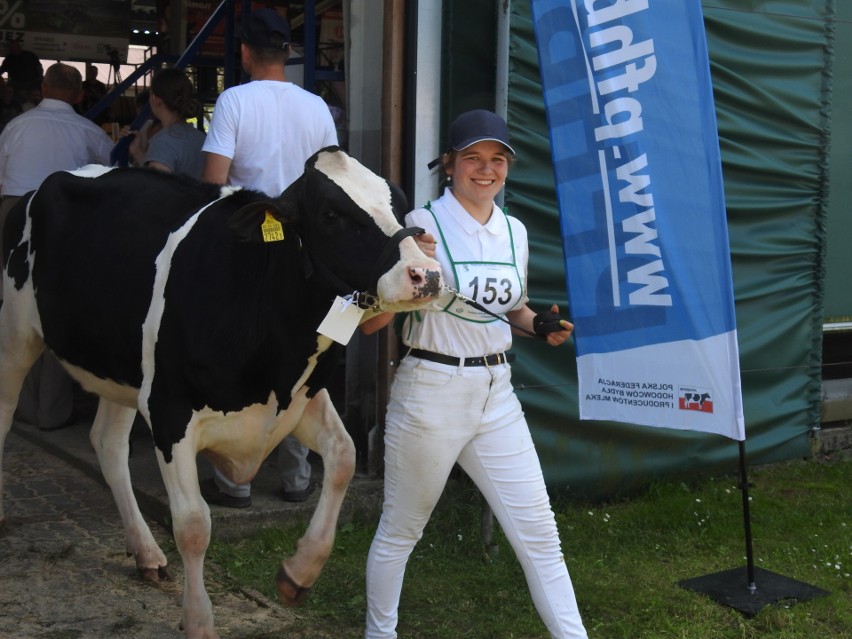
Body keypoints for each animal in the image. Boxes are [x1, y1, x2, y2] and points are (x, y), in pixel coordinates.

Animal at [0, 148, 440, 636]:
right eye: (331, 215)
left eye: (400, 202)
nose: (426, 273)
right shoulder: (169, 409)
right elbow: (193, 524)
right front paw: (199, 620)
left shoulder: (295, 398)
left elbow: (344, 457)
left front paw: (299, 572)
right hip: (16, 334)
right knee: (5, 415)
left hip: (122, 368)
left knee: (108, 445)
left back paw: (146, 552)